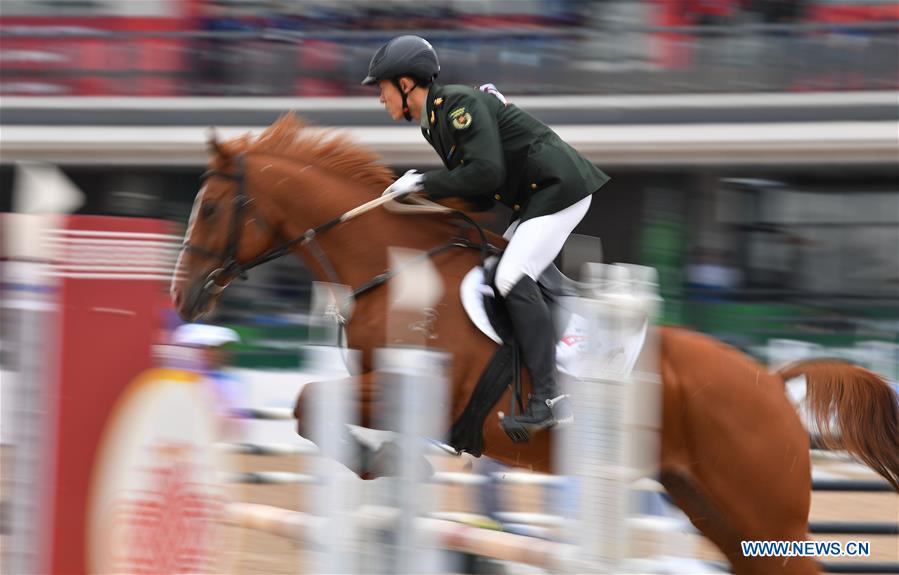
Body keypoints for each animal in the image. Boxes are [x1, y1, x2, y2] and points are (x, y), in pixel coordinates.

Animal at [171, 115, 899, 572]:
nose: (183, 297)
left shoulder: (420, 385)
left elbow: (305, 400)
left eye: (212, 208)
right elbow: (309, 406)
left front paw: (387, 461)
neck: (394, 266)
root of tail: (771, 384)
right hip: (715, 511)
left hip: (766, 518)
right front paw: (386, 462)